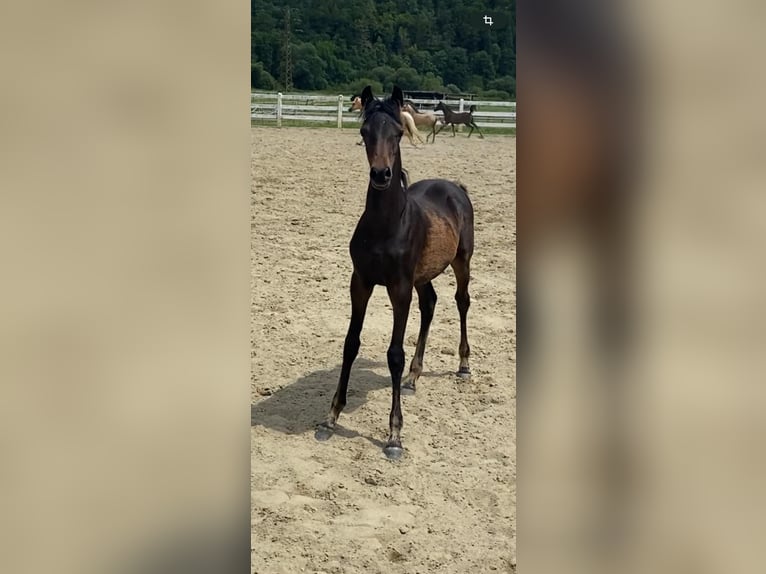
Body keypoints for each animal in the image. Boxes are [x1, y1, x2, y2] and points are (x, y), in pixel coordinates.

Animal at [314, 86, 474, 464]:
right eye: (364, 132)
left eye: (398, 133)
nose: (381, 175)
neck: (386, 225)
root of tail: (455, 187)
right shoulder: (360, 282)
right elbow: (351, 343)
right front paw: (331, 417)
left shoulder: (399, 288)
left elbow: (394, 354)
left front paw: (394, 436)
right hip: (423, 276)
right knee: (430, 304)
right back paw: (414, 377)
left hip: (461, 261)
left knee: (462, 301)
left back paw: (463, 365)